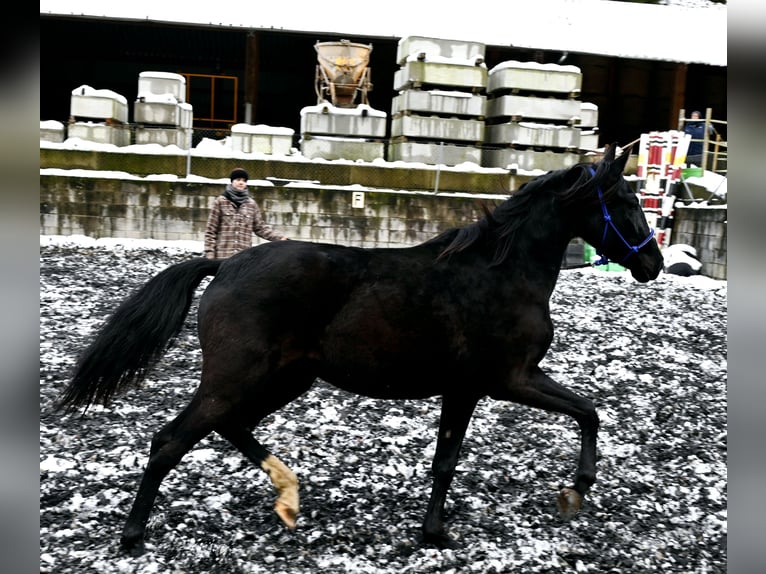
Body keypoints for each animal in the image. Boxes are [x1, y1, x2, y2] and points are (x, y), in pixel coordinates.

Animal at [58, 145, 664, 560]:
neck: (499, 274)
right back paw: (133, 537)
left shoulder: (474, 386)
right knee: (170, 440)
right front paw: (574, 490)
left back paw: (287, 497)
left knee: (229, 427)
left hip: (284, 379)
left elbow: (455, 456)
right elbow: (584, 412)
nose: (653, 264)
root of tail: (226, 264)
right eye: (626, 200)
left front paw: (435, 530)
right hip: (238, 377)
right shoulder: (505, 379)